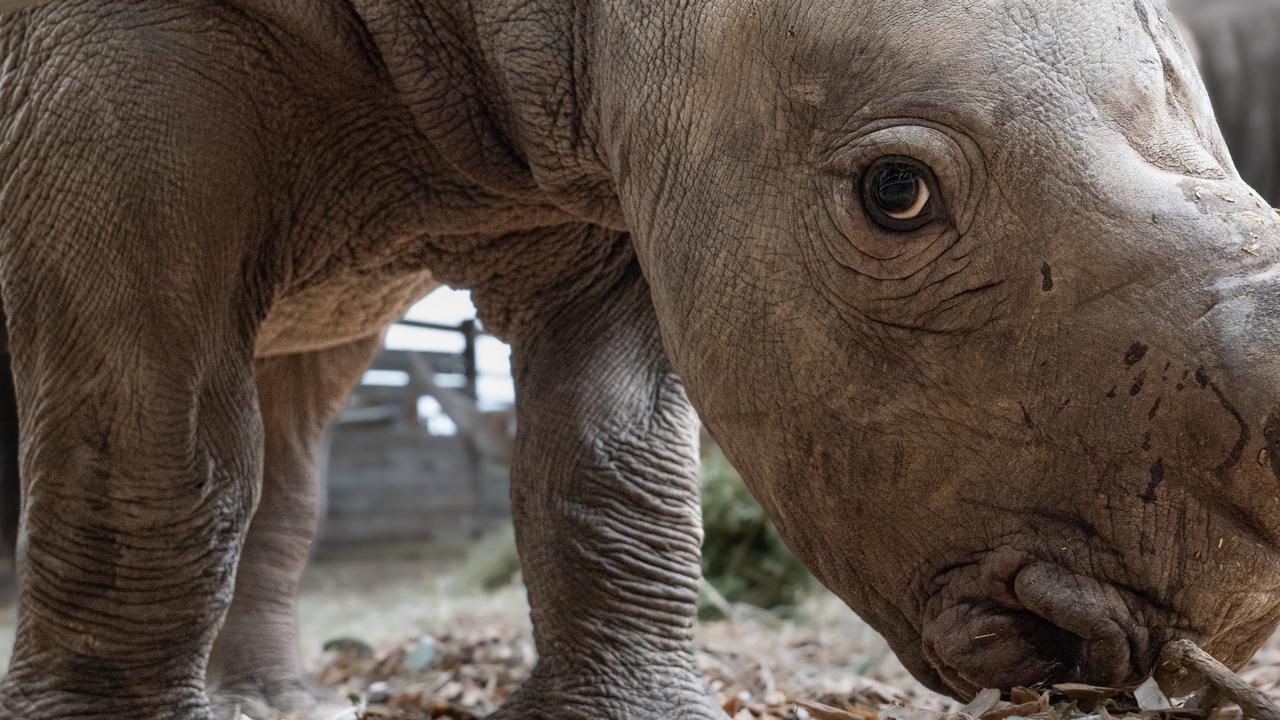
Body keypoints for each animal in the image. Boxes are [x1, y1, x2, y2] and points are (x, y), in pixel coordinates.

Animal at [0, 0, 1280, 712]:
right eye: (894, 193)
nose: (1224, 618)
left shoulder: (621, 156)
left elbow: (610, 455)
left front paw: (628, 712)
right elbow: (152, 430)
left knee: (301, 392)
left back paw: (274, 704)